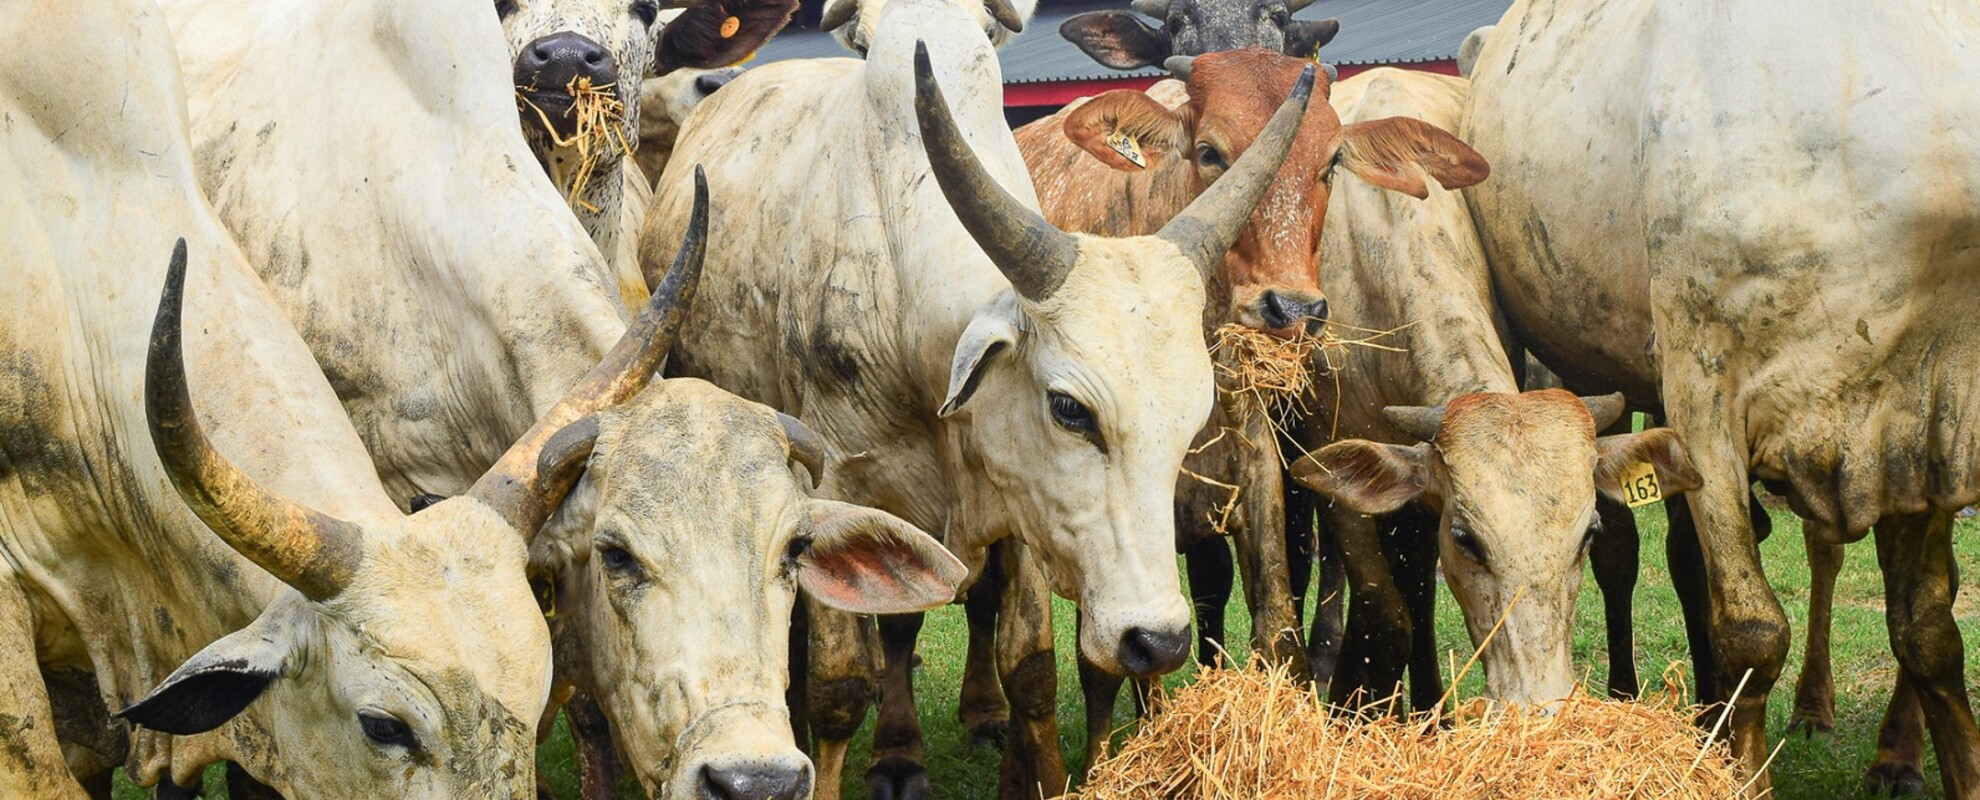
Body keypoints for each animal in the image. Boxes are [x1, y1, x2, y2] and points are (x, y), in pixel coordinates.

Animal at [1012, 50, 1487, 755]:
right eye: (1211, 152)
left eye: (1331, 163)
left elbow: (1277, 631)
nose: (1292, 308)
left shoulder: (1258, 479)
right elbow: (1105, 662)